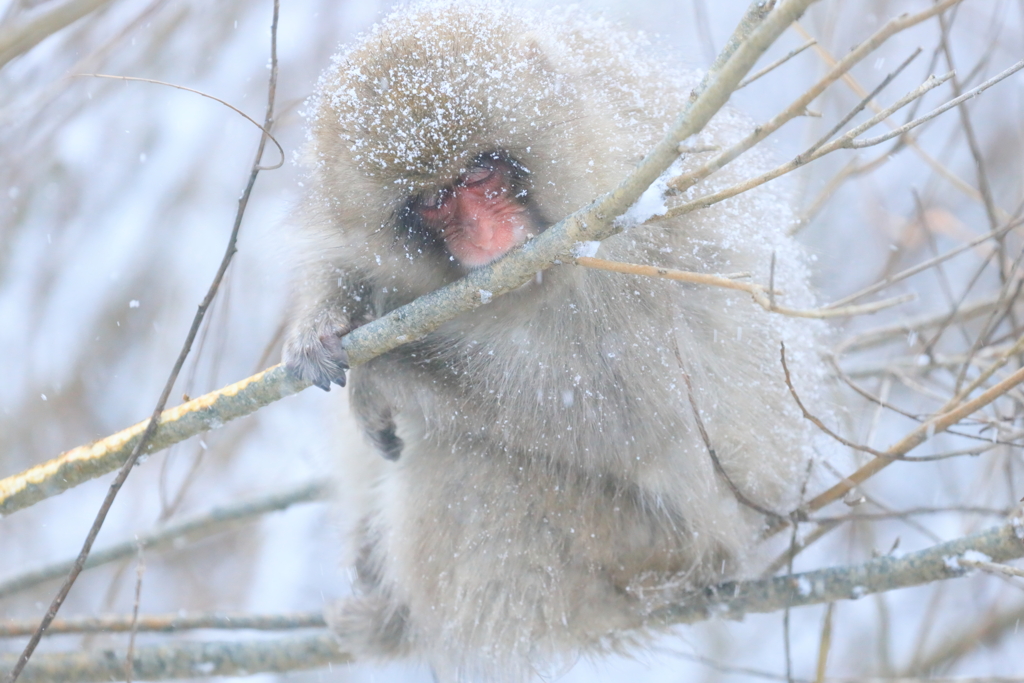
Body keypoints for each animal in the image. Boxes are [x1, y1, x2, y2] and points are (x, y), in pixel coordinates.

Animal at [286, 2, 823, 679]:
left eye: (479, 171)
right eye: (434, 201)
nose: (483, 233)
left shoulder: (623, 254)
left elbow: (622, 417)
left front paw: (388, 372)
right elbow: (350, 264)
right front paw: (319, 323)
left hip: (640, 553)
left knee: (471, 463)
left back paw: (399, 624)